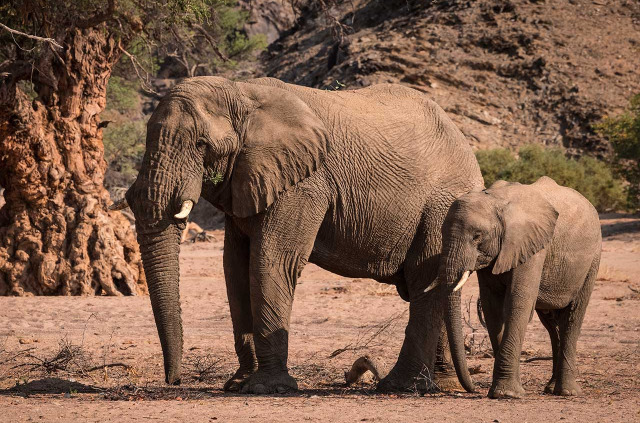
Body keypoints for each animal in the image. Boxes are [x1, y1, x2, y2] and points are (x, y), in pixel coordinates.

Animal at [116, 77, 484, 394]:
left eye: (201, 145)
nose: (174, 380)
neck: (242, 92)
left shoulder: (304, 184)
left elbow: (272, 260)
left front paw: (266, 388)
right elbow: (235, 267)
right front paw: (239, 384)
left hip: (440, 207)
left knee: (423, 279)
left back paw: (400, 387)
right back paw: (443, 384)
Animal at [438, 177, 604, 400]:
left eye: (477, 236)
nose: (472, 388)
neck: (495, 201)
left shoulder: (531, 246)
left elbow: (518, 302)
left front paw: (506, 394)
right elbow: (492, 308)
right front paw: (502, 391)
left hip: (593, 259)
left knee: (573, 316)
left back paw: (567, 392)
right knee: (552, 324)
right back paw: (551, 388)